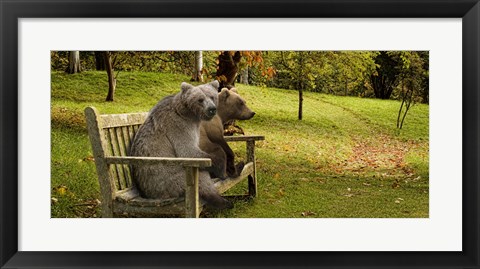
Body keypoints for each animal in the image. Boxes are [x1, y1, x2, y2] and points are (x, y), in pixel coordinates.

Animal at [128, 80, 232, 209]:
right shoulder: (178, 126)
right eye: (200, 99)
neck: (190, 115)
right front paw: (223, 167)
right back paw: (223, 201)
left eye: (212, 96)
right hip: (166, 178)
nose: (212, 109)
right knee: (201, 178)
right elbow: (189, 151)